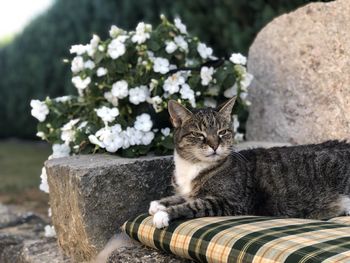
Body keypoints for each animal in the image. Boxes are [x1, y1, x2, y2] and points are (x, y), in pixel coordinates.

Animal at [149, 97, 350, 229]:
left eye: (222, 132)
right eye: (199, 134)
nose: (215, 145)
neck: (192, 166)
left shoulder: (227, 201)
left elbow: (191, 205)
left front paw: (164, 214)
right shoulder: (190, 192)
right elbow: (180, 197)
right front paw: (158, 204)